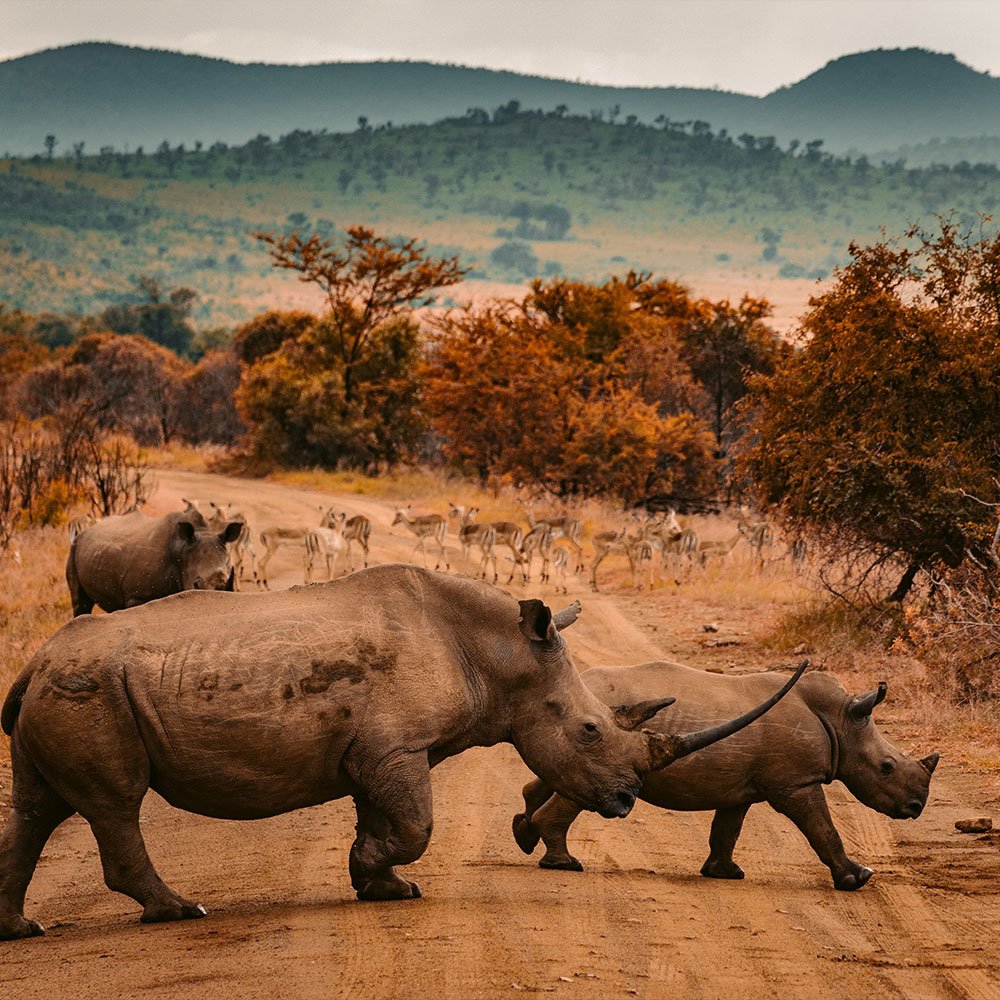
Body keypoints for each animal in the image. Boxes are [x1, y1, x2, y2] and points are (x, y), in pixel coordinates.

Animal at [512, 664, 940, 892]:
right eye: (886, 767)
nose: (917, 807)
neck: (840, 721)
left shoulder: (742, 787)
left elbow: (727, 829)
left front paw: (725, 874)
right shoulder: (795, 783)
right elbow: (823, 828)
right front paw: (857, 878)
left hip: (582, 730)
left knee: (557, 775)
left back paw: (525, 835)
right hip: (598, 734)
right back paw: (564, 864)